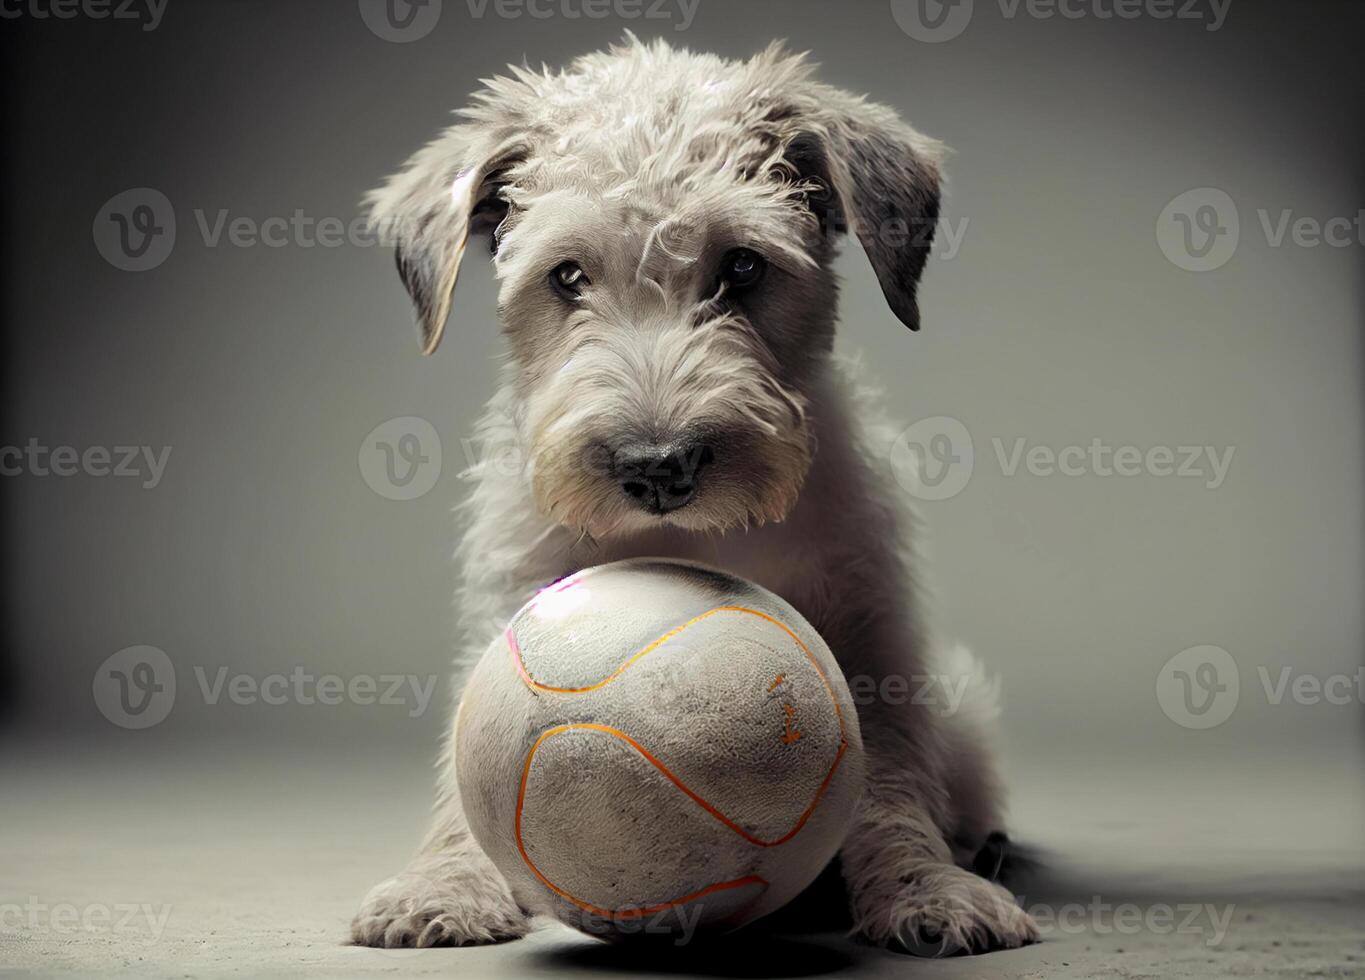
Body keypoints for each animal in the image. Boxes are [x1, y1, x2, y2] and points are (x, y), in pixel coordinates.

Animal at [352, 38, 1031, 960]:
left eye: (741, 265)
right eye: (567, 276)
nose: (657, 467)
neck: (703, 535)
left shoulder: (871, 636)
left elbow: (890, 786)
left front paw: (927, 887)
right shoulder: (507, 609)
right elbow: (464, 782)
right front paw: (441, 883)